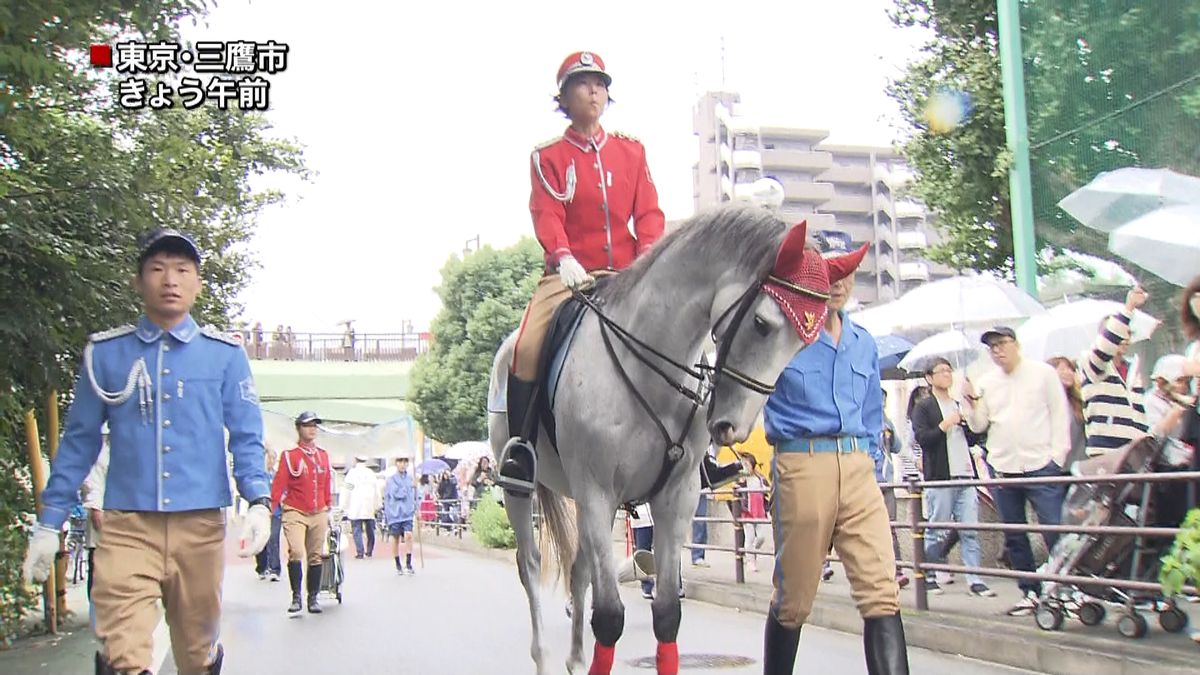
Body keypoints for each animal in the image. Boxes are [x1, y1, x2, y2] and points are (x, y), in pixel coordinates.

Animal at [487, 205, 835, 672]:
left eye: (802, 346)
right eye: (762, 324)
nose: (733, 427)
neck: (647, 367)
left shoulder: (677, 497)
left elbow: (668, 614)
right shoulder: (597, 493)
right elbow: (610, 618)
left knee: (580, 569)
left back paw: (575, 658)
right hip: (521, 490)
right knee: (530, 563)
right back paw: (543, 654)